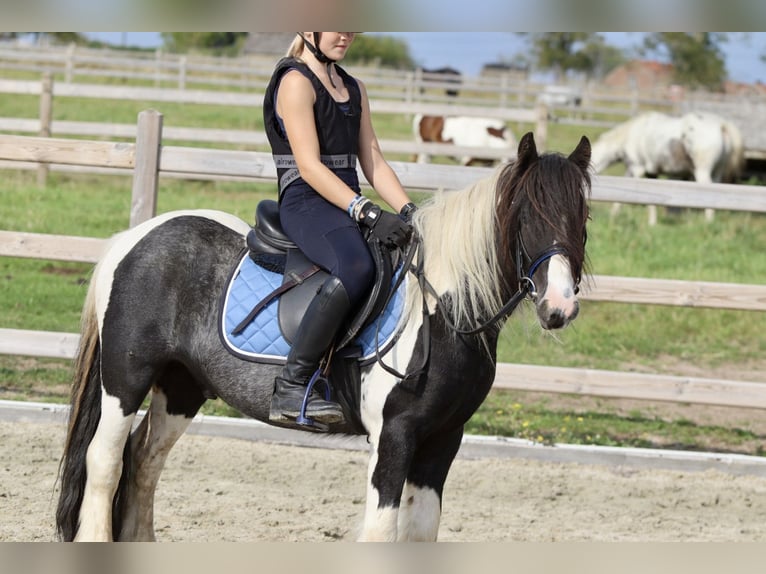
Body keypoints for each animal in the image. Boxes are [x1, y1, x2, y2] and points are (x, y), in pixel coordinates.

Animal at [55, 133, 592, 544]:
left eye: (582, 219)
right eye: (527, 217)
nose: (560, 308)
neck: (442, 311)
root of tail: (134, 239)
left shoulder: (443, 439)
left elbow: (421, 533)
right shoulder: (394, 437)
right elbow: (380, 534)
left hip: (182, 385)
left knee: (145, 460)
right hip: (125, 378)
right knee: (105, 461)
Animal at [592, 111, 744, 225]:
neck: (630, 135)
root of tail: (722, 126)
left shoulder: (638, 169)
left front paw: (651, 223)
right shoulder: (646, 171)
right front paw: (613, 216)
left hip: (702, 171)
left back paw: (708, 223)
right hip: (717, 172)